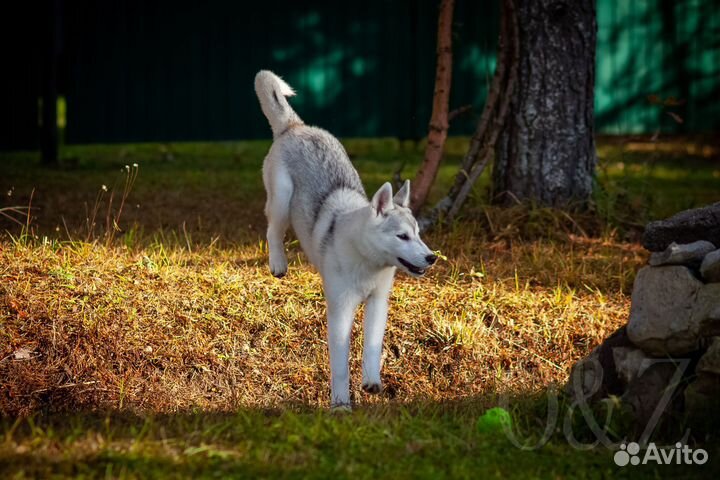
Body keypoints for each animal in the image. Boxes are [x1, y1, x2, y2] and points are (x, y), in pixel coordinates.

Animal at [256, 71, 436, 408]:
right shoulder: (340, 310)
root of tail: (296, 126)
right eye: (402, 236)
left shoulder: (378, 303)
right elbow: (339, 364)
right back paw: (278, 264)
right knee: (272, 230)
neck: (367, 263)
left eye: (418, 234)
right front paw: (341, 403)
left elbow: (372, 348)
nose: (432, 258)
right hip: (281, 201)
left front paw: (371, 382)